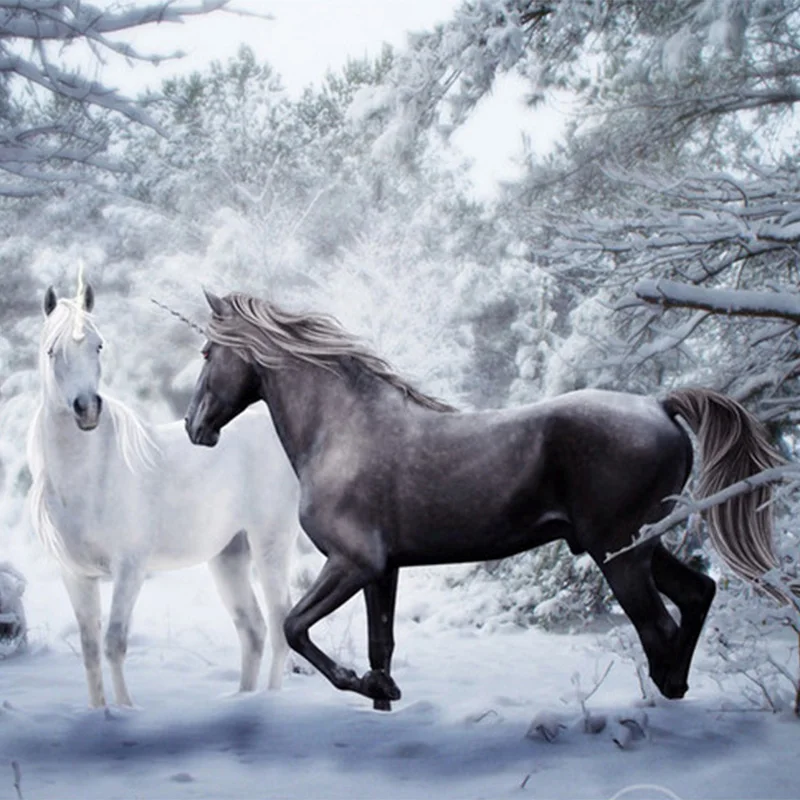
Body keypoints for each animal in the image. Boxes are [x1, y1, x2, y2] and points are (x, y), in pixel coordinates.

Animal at [27, 281, 300, 708]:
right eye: (52, 350)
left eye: (98, 346)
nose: (87, 409)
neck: (91, 476)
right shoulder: (76, 575)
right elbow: (90, 651)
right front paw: (99, 712)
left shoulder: (130, 569)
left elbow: (114, 643)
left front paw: (124, 711)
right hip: (229, 554)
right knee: (252, 629)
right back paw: (240, 701)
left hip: (270, 544)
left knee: (277, 623)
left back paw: (269, 701)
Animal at [185, 289, 784, 712]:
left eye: (209, 351)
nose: (196, 428)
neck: (343, 431)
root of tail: (659, 406)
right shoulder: (383, 570)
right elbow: (383, 645)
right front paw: (383, 692)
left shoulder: (353, 563)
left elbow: (294, 627)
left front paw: (364, 684)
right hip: (639, 546)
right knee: (698, 594)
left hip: (621, 554)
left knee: (659, 630)